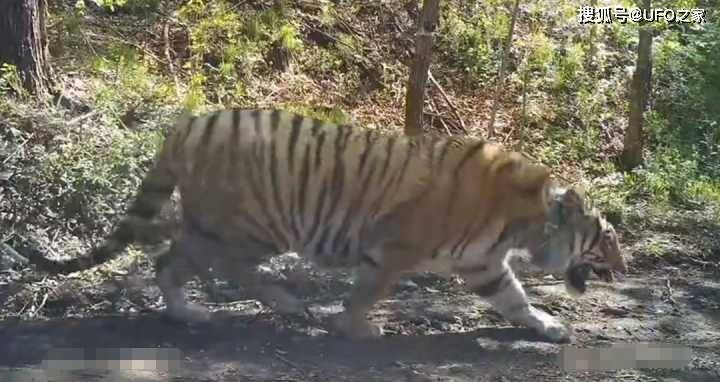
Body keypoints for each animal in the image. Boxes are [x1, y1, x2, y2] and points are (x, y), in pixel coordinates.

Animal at [25, 108, 628, 344]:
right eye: (608, 239)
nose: (624, 269)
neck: (523, 223)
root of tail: (186, 124)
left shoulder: (483, 263)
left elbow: (515, 299)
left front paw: (548, 327)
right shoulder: (395, 246)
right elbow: (369, 291)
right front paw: (354, 327)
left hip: (235, 225)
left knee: (178, 257)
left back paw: (200, 311)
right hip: (251, 224)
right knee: (196, 260)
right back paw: (253, 305)